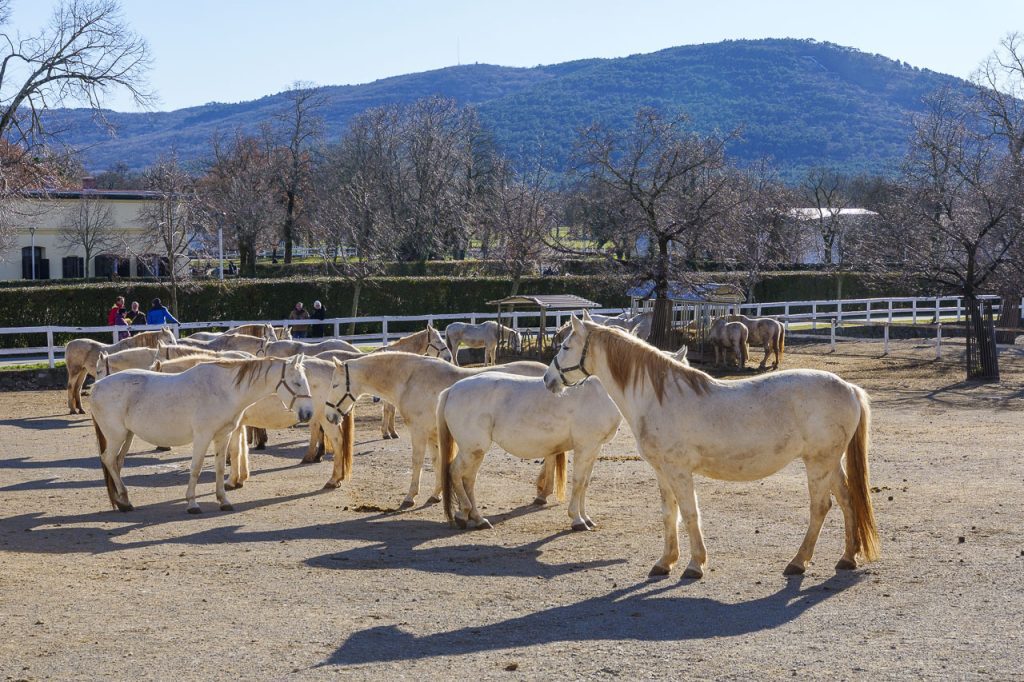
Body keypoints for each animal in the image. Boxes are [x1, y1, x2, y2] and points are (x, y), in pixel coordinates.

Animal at [89, 356, 313, 514]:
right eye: (297, 383)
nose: (308, 413)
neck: (223, 390)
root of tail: (96, 386)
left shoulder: (223, 436)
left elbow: (220, 468)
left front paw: (224, 501)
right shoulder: (203, 436)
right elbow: (195, 469)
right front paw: (192, 504)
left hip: (127, 436)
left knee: (117, 463)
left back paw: (123, 501)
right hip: (116, 436)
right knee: (108, 459)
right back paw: (124, 501)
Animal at [321, 352, 546, 507]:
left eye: (335, 385)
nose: (329, 415)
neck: (409, 380)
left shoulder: (419, 432)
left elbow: (418, 462)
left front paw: (410, 497)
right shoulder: (432, 435)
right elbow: (437, 462)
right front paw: (436, 494)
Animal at [438, 373, 621, 531]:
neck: (599, 392)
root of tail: (452, 389)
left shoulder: (594, 449)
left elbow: (585, 483)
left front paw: (587, 518)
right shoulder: (585, 448)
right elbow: (578, 483)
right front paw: (578, 520)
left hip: (475, 453)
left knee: (468, 480)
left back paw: (477, 519)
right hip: (472, 450)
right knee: (455, 473)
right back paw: (465, 514)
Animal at [543, 313, 879, 578]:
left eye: (565, 346)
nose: (548, 379)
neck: (657, 397)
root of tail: (849, 387)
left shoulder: (679, 470)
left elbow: (690, 513)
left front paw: (695, 565)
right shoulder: (662, 471)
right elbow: (670, 514)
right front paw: (665, 562)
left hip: (819, 463)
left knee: (821, 507)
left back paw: (798, 562)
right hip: (830, 462)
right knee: (848, 501)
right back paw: (847, 558)